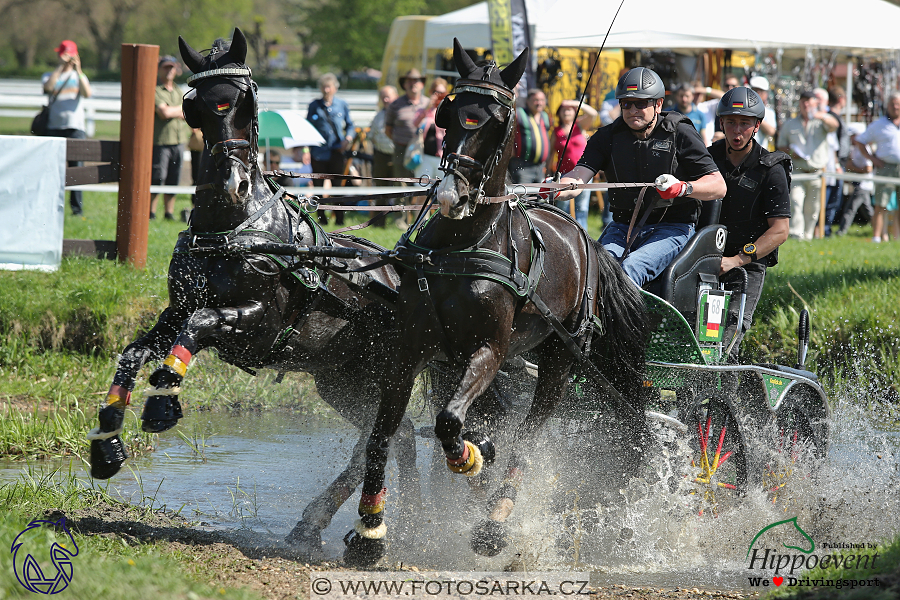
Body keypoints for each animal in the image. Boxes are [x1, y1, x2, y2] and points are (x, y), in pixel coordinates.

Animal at [85, 30, 422, 560]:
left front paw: (163, 401)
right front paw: (107, 443)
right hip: (343, 381)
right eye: (194, 107)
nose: (231, 182)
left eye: (244, 102)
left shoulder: (257, 322)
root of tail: (402, 277)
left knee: (386, 438)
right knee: (393, 436)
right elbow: (133, 351)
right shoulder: (175, 310)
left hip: (389, 373)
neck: (231, 230)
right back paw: (342, 524)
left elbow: (200, 324)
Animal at [342, 39, 652, 564]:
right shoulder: (411, 347)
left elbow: (449, 422)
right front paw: (370, 529)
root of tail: (584, 239)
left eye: (497, 121)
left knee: (529, 433)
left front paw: (472, 457)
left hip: (560, 357)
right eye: (447, 115)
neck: (464, 243)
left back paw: (495, 518)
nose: (451, 193)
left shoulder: (490, 349)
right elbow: (383, 432)